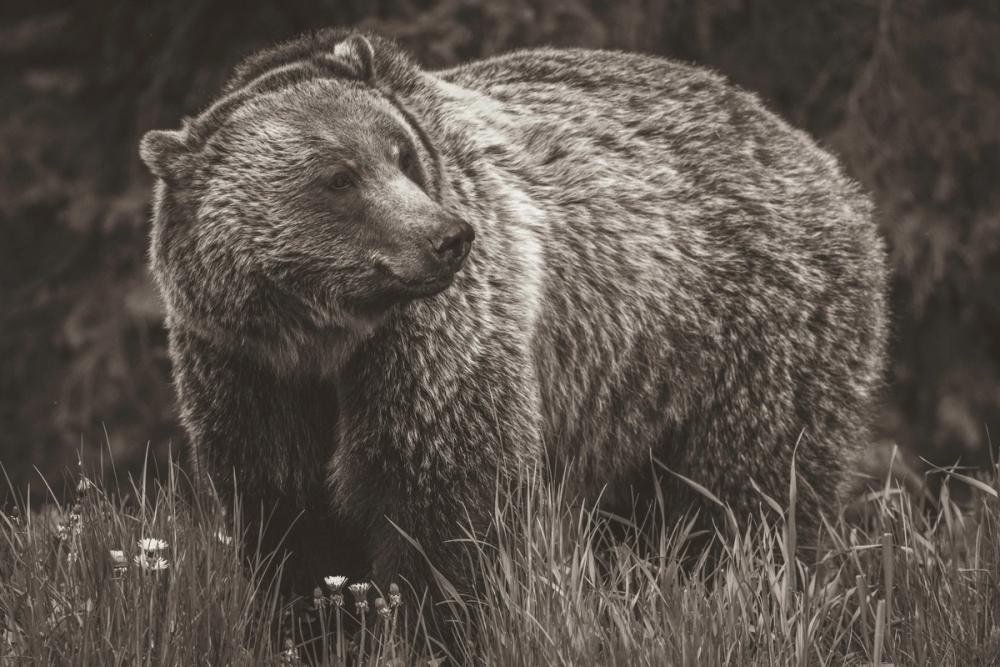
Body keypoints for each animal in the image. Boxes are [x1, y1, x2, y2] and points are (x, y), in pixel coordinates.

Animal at [138, 28, 888, 601]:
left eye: (400, 155)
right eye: (338, 178)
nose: (447, 237)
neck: (324, 337)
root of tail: (810, 152)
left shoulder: (435, 352)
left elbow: (447, 511)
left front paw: (436, 618)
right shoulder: (243, 367)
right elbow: (288, 521)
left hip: (751, 333)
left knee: (750, 496)